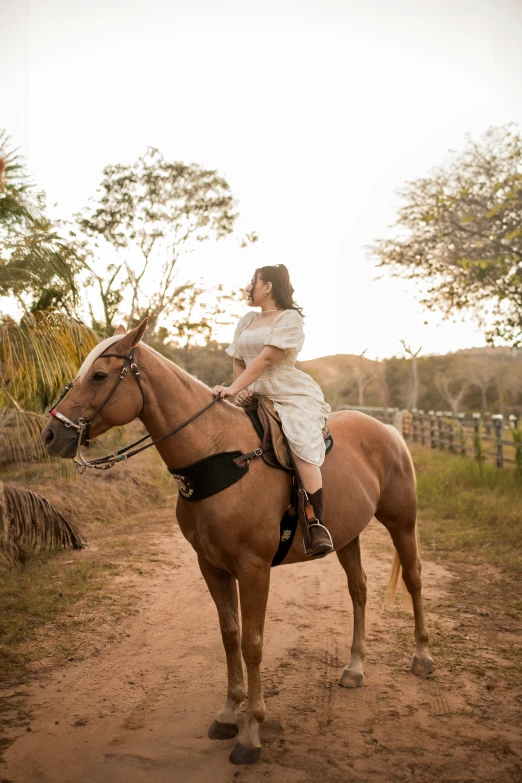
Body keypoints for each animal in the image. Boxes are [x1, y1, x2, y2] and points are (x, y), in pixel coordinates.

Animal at [40, 322, 432, 768]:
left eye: (100, 376)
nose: (50, 435)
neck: (219, 455)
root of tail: (388, 430)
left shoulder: (254, 568)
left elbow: (252, 643)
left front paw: (251, 733)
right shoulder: (211, 566)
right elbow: (230, 634)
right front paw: (229, 714)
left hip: (402, 522)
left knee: (414, 578)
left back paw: (422, 657)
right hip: (348, 535)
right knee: (359, 590)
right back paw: (354, 667)